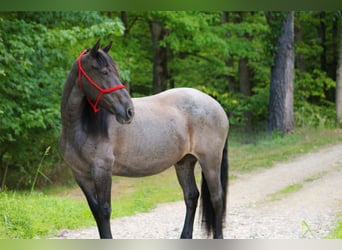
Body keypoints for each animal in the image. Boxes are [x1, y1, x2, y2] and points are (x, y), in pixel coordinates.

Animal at [59, 40, 230, 239]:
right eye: (104, 72)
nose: (129, 111)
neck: (80, 128)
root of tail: (216, 105)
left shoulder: (102, 171)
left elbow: (104, 211)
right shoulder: (81, 175)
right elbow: (96, 212)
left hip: (210, 160)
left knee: (216, 198)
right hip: (184, 162)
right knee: (191, 196)